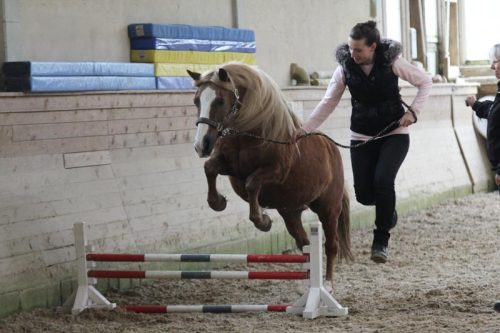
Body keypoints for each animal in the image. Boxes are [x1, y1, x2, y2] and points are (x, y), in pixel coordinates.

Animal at [188, 62, 352, 280]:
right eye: (196, 101)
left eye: (220, 101)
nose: (201, 145)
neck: (251, 132)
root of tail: (332, 148)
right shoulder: (229, 168)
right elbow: (209, 169)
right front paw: (218, 202)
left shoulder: (276, 172)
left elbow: (252, 184)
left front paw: (262, 220)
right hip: (291, 212)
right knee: (305, 245)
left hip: (328, 208)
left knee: (331, 246)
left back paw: (328, 282)